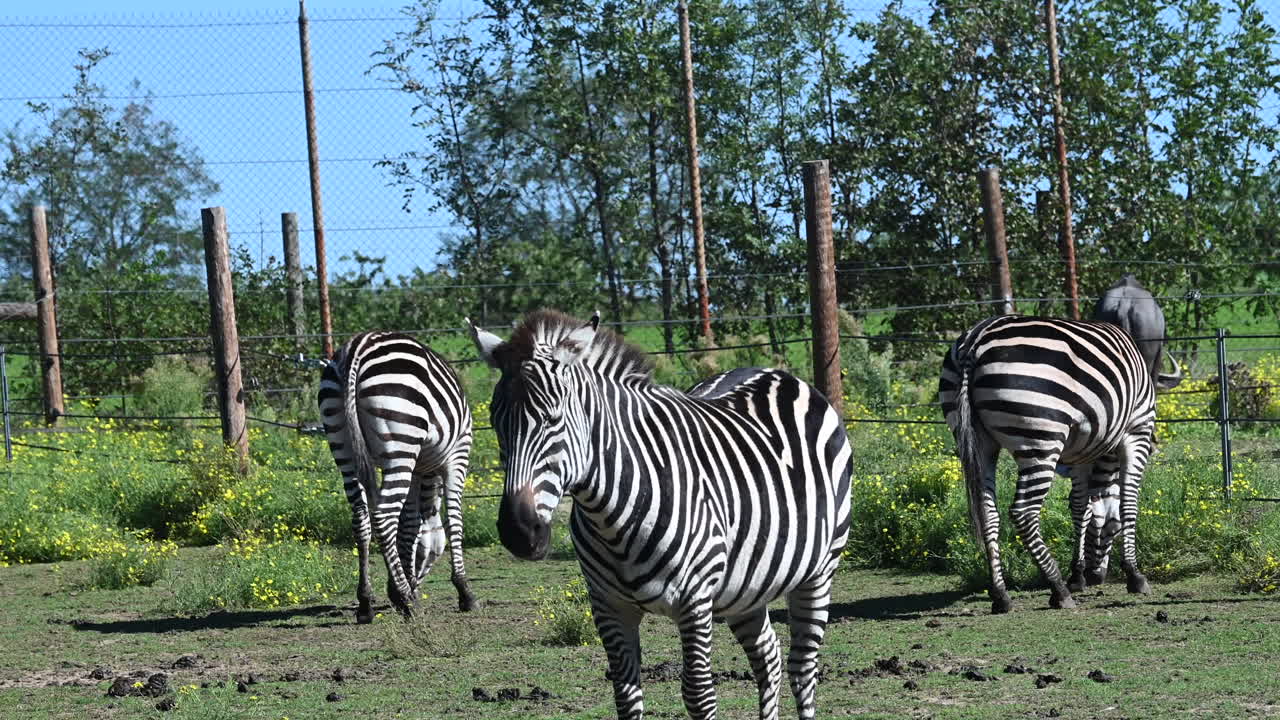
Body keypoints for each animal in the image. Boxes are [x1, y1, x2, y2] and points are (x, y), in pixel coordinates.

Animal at [317, 331, 477, 623]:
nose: (415, 585)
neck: (427, 473)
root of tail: (357, 348)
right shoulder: (457, 455)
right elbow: (454, 521)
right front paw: (464, 591)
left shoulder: (415, 470)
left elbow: (410, 525)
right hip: (401, 440)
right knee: (384, 517)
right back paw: (408, 601)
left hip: (343, 443)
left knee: (361, 518)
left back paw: (367, 603)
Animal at [468, 310, 852, 720]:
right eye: (494, 420)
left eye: (553, 419)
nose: (519, 532)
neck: (611, 517)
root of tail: (776, 373)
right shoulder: (608, 607)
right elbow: (625, 694)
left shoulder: (694, 601)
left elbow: (699, 694)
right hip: (747, 585)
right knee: (768, 656)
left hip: (819, 570)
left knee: (802, 669)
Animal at [938, 315, 1157, 614]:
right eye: (1111, 532)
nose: (1097, 576)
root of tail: (975, 341)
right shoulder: (1138, 429)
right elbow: (1128, 502)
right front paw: (1134, 574)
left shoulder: (1080, 453)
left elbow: (1080, 507)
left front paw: (1077, 575)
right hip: (1041, 439)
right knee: (1023, 512)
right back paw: (1058, 590)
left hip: (977, 441)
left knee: (987, 512)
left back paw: (1001, 595)